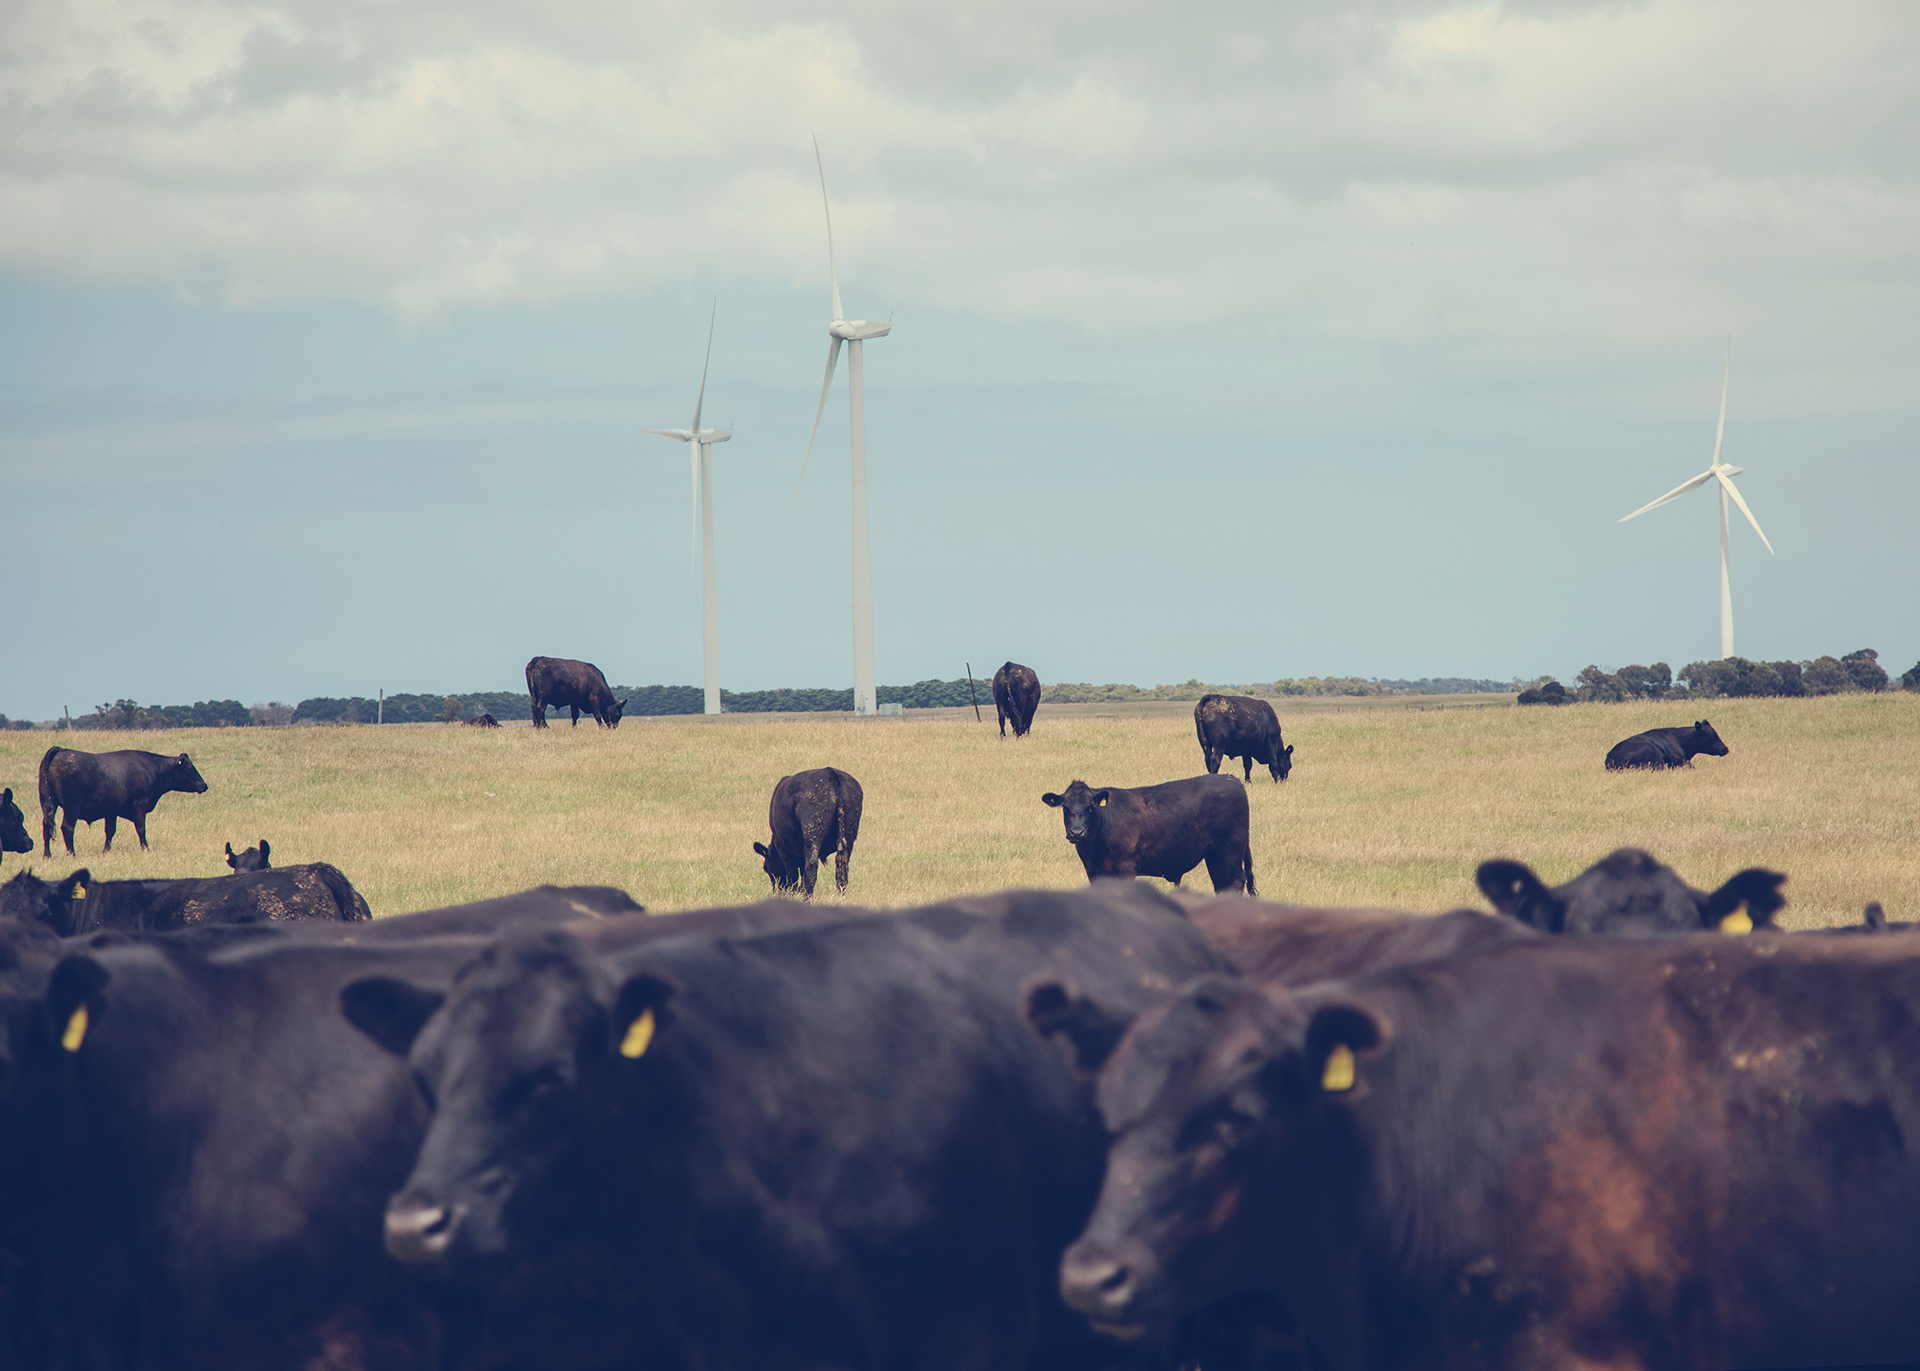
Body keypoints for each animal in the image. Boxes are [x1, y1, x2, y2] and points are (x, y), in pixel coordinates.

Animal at [37, 745, 208, 856]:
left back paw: (47, 855)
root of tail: (61, 750)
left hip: (48, 804)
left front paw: (106, 851)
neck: (152, 768)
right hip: (72, 806)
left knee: (46, 827)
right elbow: (141, 828)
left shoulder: (111, 810)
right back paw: (72, 853)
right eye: (191, 768)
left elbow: (110, 831)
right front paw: (146, 849)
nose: (204, 785)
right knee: (67, 827)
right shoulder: (140, 804)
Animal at [753, 766, 863, 898]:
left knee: (811, 867)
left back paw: (807, 897)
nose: (777, 891)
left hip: (812, 833)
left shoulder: (783, 848)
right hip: (849, 835)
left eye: (766, 867)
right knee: (842, 868)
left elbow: (793, 876)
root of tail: (831, 772)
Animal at [1043, 776, 1254, 895]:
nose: (1077, 832)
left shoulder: (1125, 869)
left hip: (1229, 852)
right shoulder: (1095, 871)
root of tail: (1231, 779)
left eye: (1090, 807)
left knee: (1233, 883)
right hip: (1214, 855)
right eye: (1065, 808)